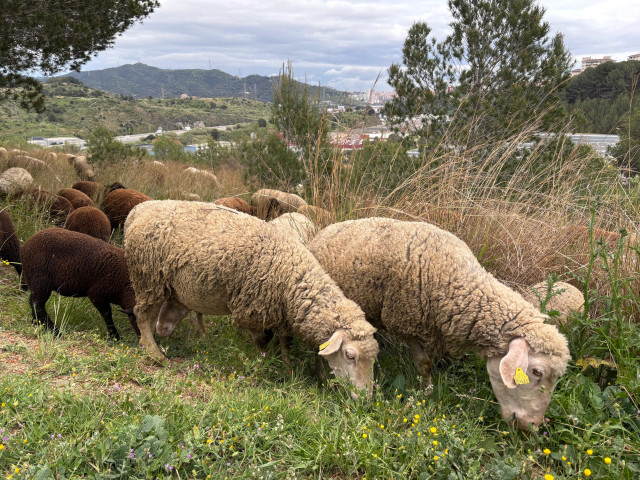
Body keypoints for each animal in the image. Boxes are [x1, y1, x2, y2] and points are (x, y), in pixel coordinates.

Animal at [124, 200, 379, 398]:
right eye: (350, 355)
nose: (365, 399)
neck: (292, 278)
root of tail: (137, 211)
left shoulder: (280, 314)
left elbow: (285, 343)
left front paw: (288, 369)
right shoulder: (253, 309)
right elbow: (262, 341)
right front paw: (265, 362)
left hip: (160, 284)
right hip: (147, 275)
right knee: (141, 314)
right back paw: (154, 353)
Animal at [309, 218, 571, 430]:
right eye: (537, 372)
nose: (532, 426)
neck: (456, 283)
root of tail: (327, 229)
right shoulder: (407, 323)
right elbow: (424, 364)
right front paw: (427, 392)